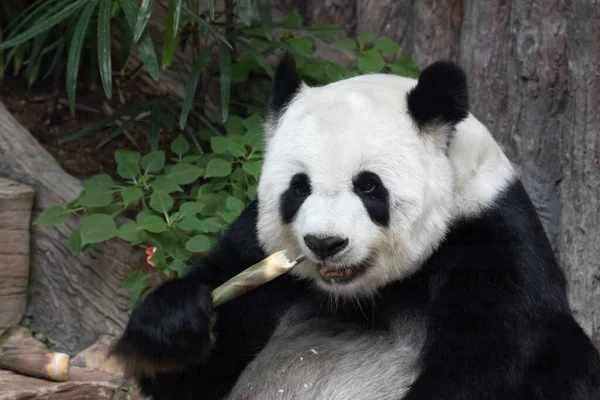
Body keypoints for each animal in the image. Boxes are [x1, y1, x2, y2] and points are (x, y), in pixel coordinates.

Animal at [109, 54, 600, 400]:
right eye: (298, 188)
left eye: (368, 186)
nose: (325, 243)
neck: (362, 294)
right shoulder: (258, 253)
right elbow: (200, 373)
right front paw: (169, 322)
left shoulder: (491, 242)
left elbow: (485, 369)